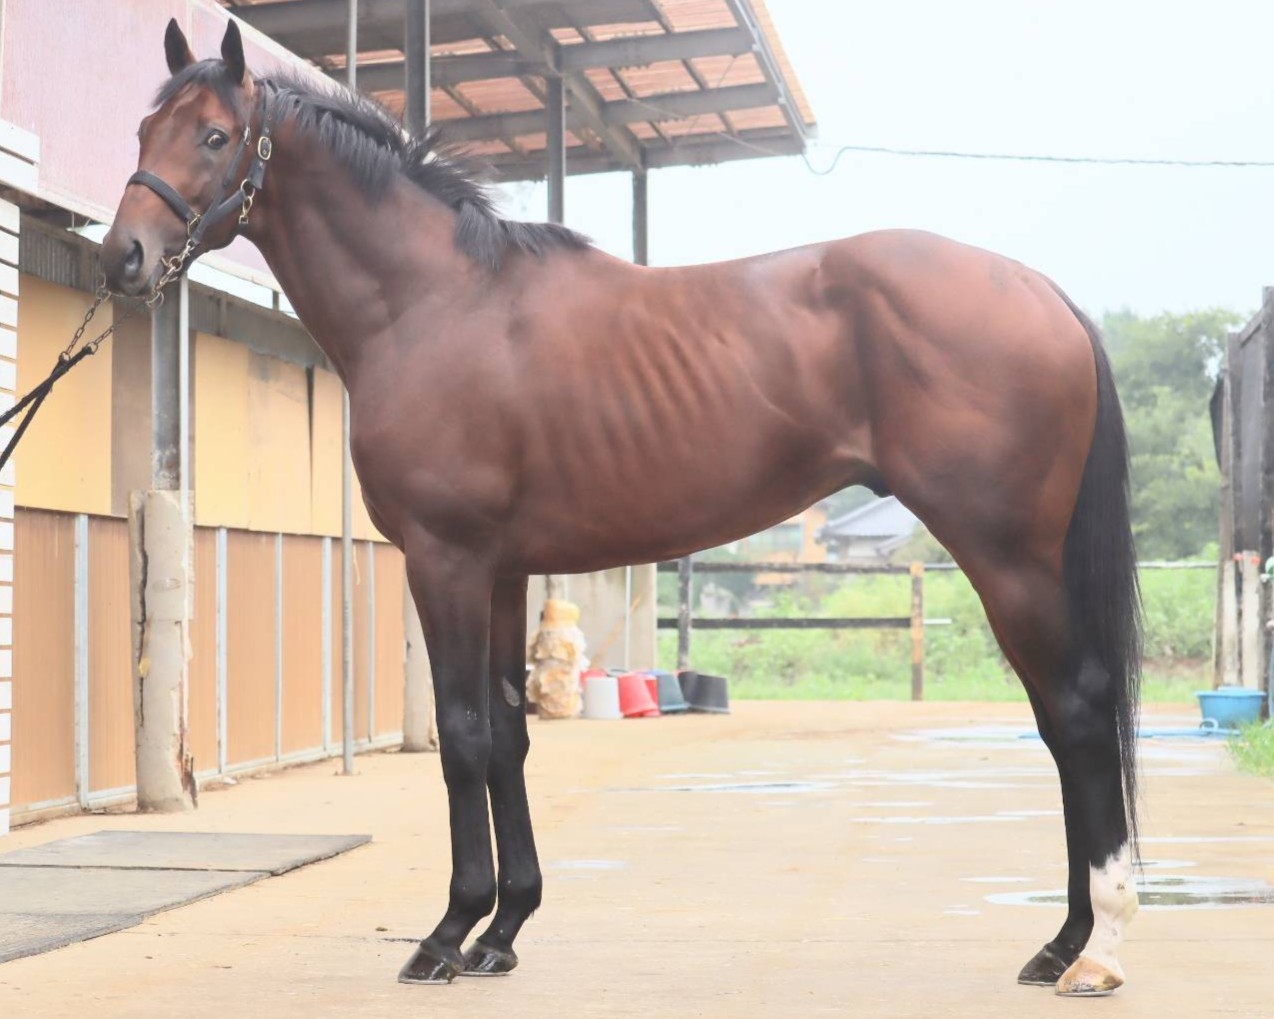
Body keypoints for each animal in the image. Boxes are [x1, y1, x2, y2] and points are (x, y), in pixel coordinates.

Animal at [102, 19, 1142, 998]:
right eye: (145, 129)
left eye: (215, 134)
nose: (124, 258)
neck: (434, 302)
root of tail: (1043, 292)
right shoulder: (503, 570)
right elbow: (509, 734)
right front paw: (503, 931)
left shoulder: (446, 559)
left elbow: (463, 733)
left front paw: (447, 935)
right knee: (1061, 720)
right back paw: (1062, 942)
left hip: (1006, 555)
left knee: (1078, 709)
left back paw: (1096, 949)